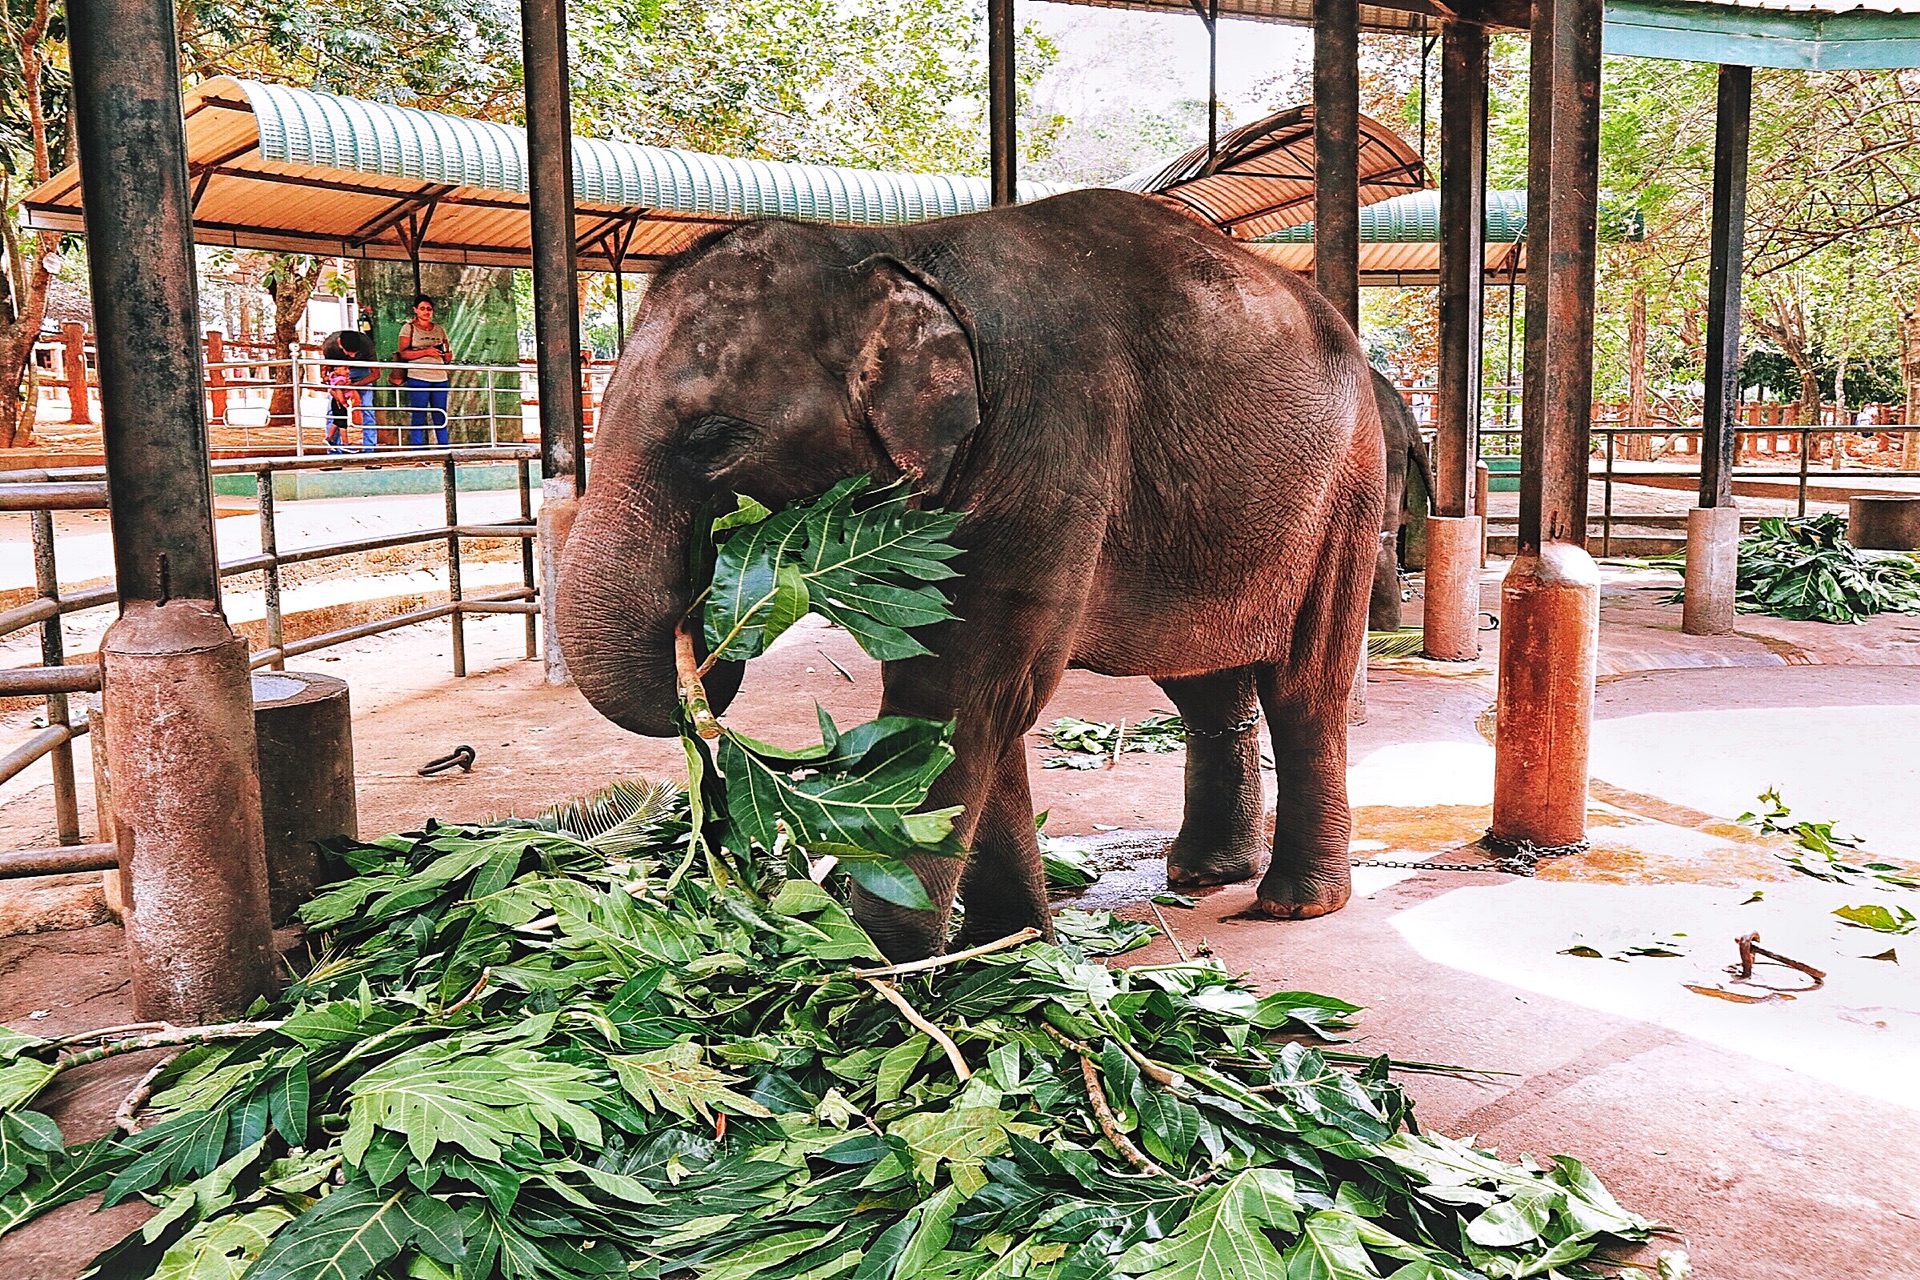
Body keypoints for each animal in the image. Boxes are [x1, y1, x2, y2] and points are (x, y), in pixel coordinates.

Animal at [556, 189, 1382, 959]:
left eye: (714, 439)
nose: (700, 652)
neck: (885, 252)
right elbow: (982, 700)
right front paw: (1010, 950)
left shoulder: (1051, 441)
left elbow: (965, 694)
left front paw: (874, 973)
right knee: (1200, 678)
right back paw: (1205, 874)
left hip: (1345, 493)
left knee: (1303, 685)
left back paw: (1295, 904)